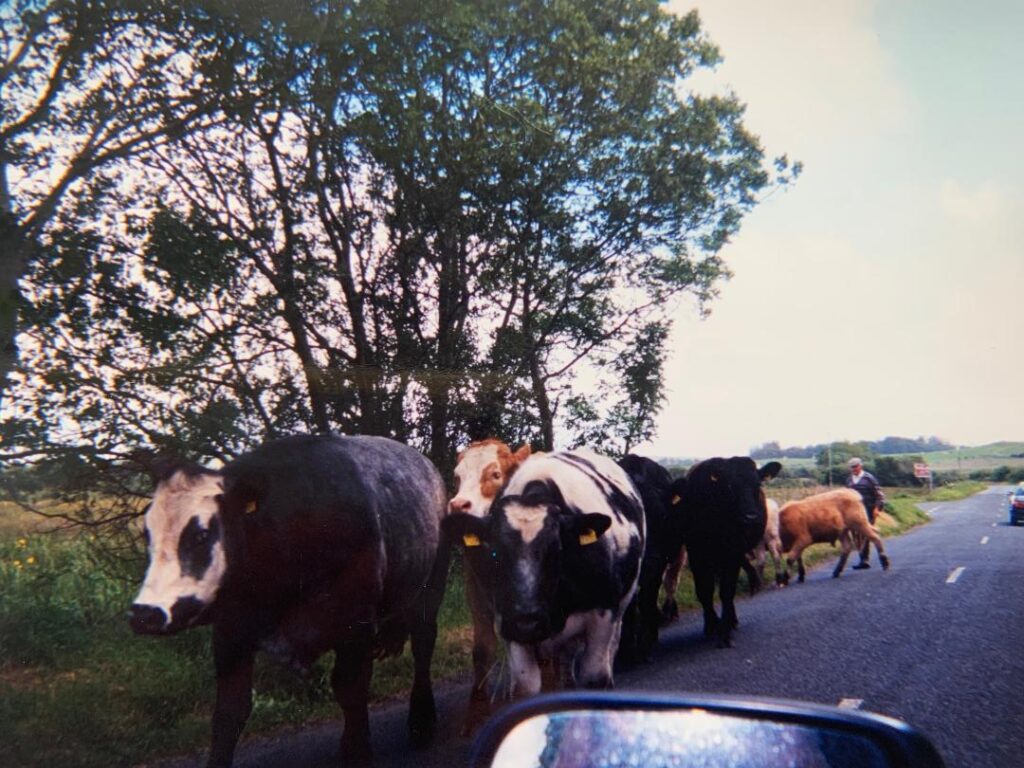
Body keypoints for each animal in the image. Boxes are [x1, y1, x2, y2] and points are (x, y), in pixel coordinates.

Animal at [128, 436, 448, 768]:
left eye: (201, 534)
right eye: (147, 532)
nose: (145, 613)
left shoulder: (356, 625)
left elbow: (351, 693)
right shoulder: (230, 632)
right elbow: (229, 713)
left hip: (432, 585)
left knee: (424, 644)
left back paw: (422, 722)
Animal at [444, 448, 643, 700]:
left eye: (557, 549)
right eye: (494, 552)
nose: (527, 621)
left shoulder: (604, 614)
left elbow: (595, 677)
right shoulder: (508, 622)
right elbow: (525, 687)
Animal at [446, 438, 532, 733]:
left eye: (495, 474)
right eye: (457, 477)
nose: (458, 505)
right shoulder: (476, 588)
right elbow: (482, 650)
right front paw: (476, 712)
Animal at [667, 456, 778, 651]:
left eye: (758, 484)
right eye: (730, 486)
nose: (750, 517)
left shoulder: (732, 554)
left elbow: (726, 592)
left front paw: (725, 632)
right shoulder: (697, 555)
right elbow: (704, 592)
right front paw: (712, 625)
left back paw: (732, 620)